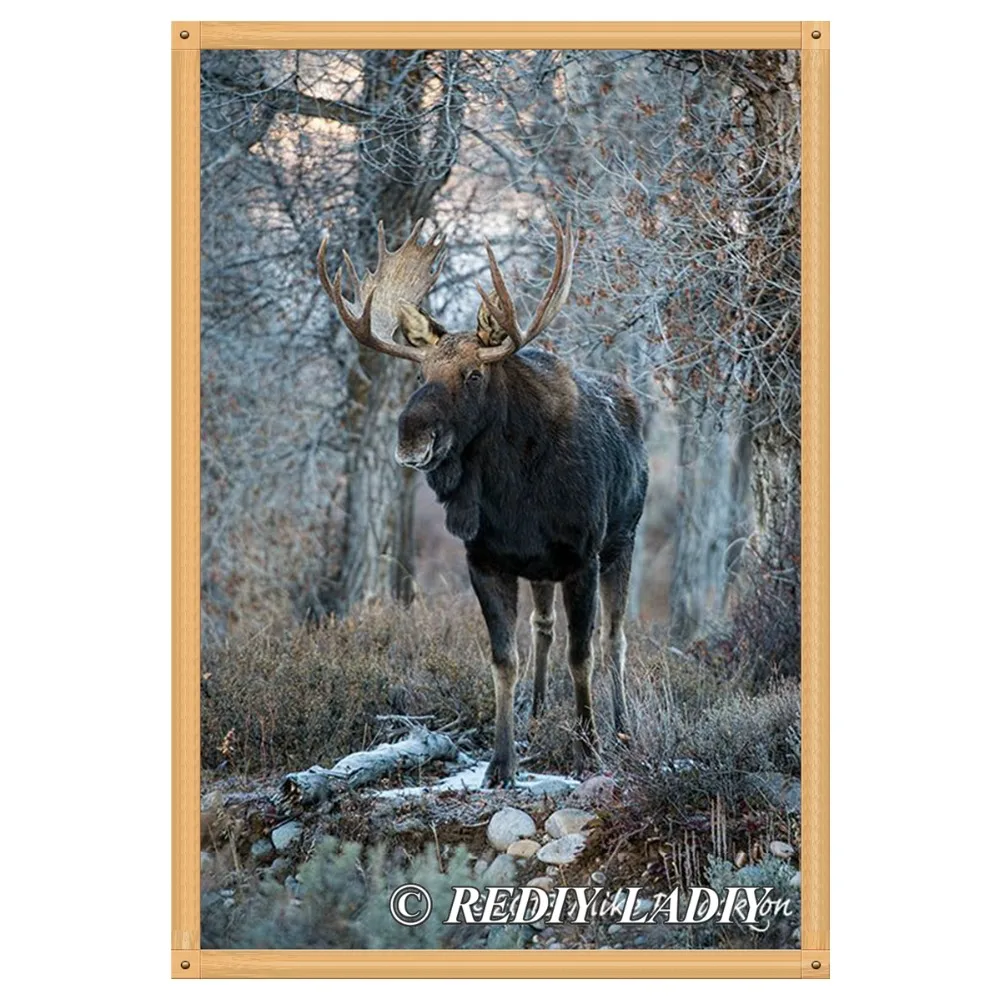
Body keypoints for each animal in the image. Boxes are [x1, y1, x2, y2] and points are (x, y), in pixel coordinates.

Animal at [318, 213, 649, 788]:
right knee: (543, 628)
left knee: (614, 638)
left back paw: (623, 729)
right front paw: (500, 762)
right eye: (420, 374)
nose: (411, 437)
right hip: (542, 570)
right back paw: (537, 710)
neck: (517, 496)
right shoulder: (488, 560)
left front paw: (588, 750)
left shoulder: (582, 555)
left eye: (473, 375)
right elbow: (504, 659)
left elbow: (581, 653)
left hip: (622, 541)